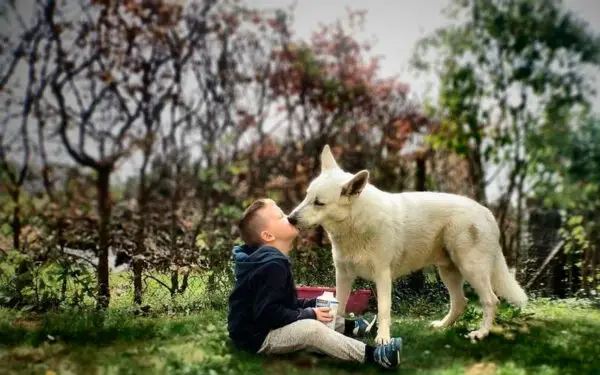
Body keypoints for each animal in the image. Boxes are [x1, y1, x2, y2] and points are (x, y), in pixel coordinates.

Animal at [288, 145, 528, 346]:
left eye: (319, 203)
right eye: (307, 197)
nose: (290, 219)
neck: (355, 223)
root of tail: (487, 212)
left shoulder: (382, 276)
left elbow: (383, 310)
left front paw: (383, 339)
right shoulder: (343, 275)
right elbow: (340, 306)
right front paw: (334, 332)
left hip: (471, 270)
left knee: (491, 300)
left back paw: (481, 333)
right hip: (448, 272)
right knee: (461, 302)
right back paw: (442, 326)